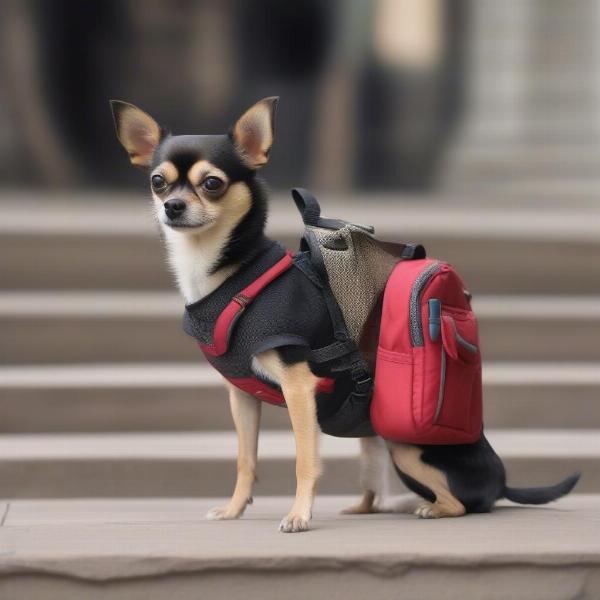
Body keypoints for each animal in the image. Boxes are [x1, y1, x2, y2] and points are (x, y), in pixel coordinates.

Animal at [110, 96, 580, 532]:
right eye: (157, 182)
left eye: (212, 183)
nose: (172, 206)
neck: (230, 272)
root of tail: (500, 481)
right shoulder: (241, 397)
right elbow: (246, 459)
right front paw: (233, 509)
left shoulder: (299, 386)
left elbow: (305, 460)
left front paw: (298, 516)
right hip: (372, 441)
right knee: (377, 486)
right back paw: (370, 505)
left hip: (406, 448)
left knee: (458, 503)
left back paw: (427, 507)